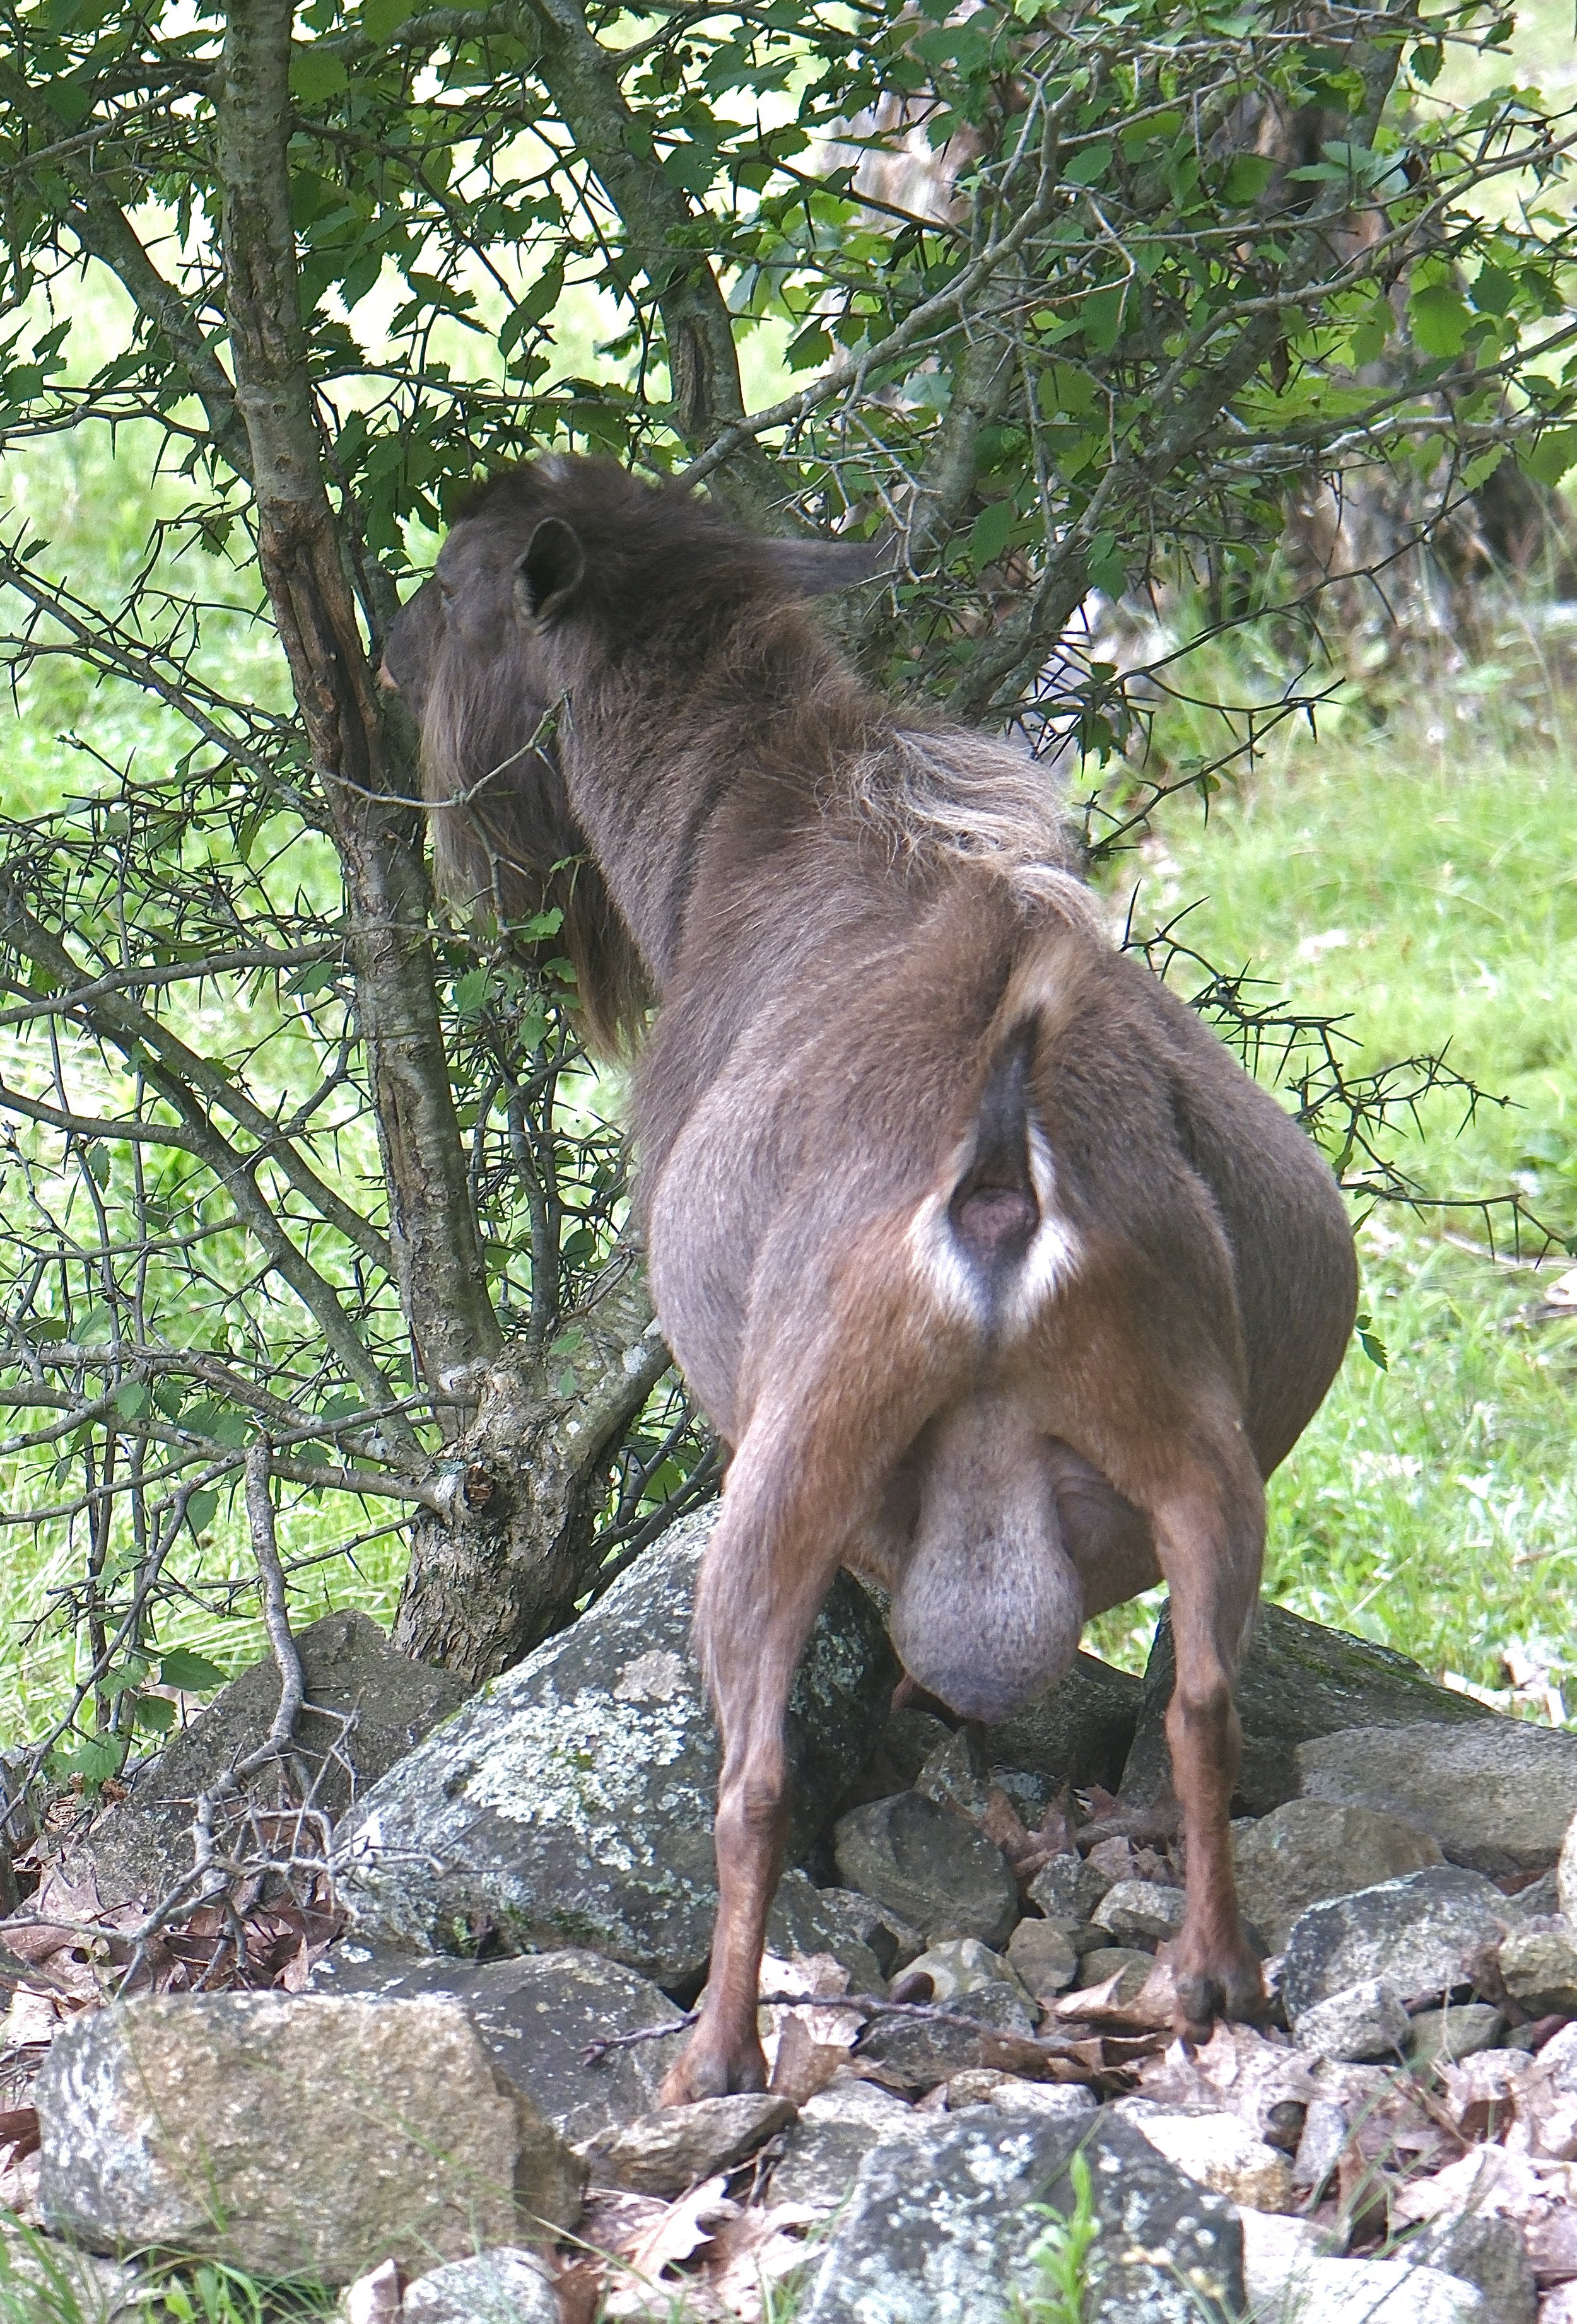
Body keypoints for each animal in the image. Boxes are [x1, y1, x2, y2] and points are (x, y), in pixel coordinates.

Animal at [384, 457, 1358, 2110]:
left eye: (451, 590)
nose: (384, 671)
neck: (752, 836)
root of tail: (1000, 1174)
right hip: (1188, 1430)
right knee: (1200, 1697)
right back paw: (1213, 1977)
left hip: (796, 1453)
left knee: (751, 1772)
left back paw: (711, 2057)